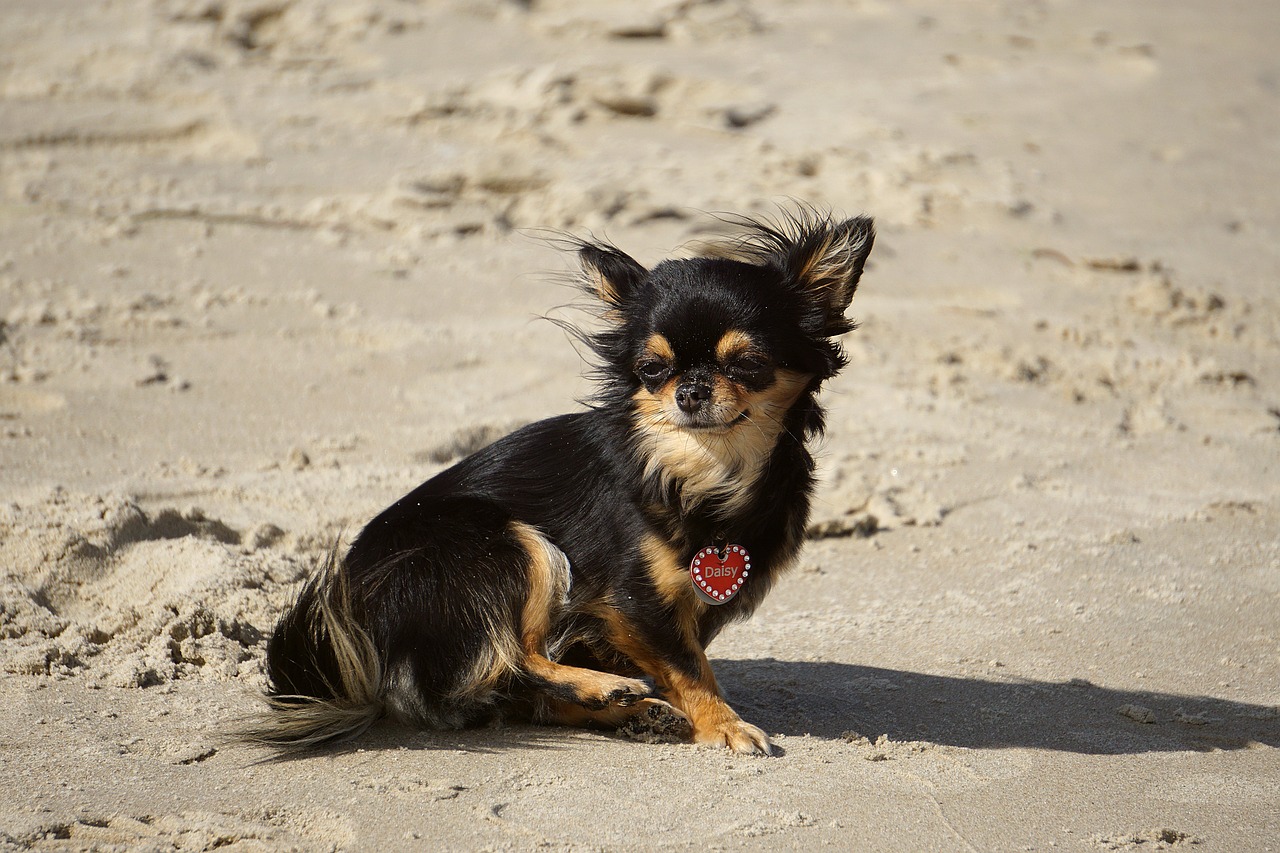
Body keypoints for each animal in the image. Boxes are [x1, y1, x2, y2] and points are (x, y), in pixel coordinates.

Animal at [244, 208, 875, 753]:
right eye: (653, 370)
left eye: (746, 363)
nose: (691, 390)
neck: (707, 471)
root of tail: (353, 626)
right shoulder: (633, 599)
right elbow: (691, 668)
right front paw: (724, 724)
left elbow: (683, 658)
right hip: (510, 543)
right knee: (510, 658)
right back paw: (606, 691)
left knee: (512, 689)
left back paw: (631, 713)